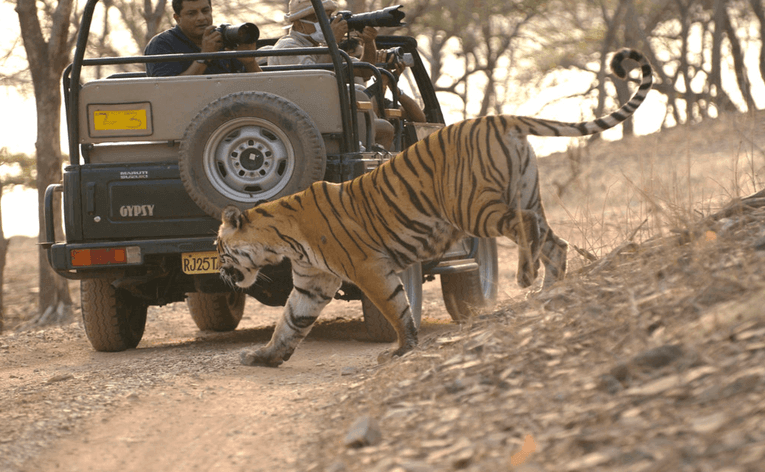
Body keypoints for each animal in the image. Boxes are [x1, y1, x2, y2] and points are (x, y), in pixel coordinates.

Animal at [215, 48, 652, 366]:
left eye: (220, 249)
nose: (220, 272)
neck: (281, 239)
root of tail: (498, 117)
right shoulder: (312, 281)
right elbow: (291, 323)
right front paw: (264, 356)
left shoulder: (369, 267)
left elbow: (396, 308)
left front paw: (402, 349)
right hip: (523, 194)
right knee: (555, 243)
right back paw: (548, 291)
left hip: (474, 207)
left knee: (526, 227)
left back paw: (527, 278)